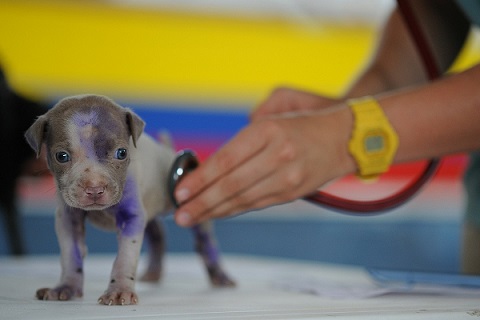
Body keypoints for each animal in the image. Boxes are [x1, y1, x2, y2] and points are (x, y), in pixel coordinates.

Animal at [24, 94, 234, 304]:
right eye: (62, 156)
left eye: (122, 153)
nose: (94, 188)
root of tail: (167, 151)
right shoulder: (68, 218)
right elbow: (71, 254)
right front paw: (66, 287)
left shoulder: (131, 217)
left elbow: (124, 258)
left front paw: (119, 290)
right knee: (157, 233)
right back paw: (153, 272)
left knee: (204, 240)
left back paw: (220, 275)